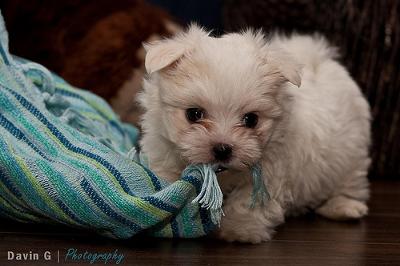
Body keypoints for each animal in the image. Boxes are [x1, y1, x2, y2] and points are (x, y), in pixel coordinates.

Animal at [138, 26, 372, 244]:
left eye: (251, 119)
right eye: (194, 114)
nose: (222, 148)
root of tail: (321, 61)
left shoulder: (271, 168)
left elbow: (248, 200)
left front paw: (239, 230)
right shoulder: (163, 150)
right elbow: (168, 179)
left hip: (350, 153)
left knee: (350, 180)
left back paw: (343, 206)